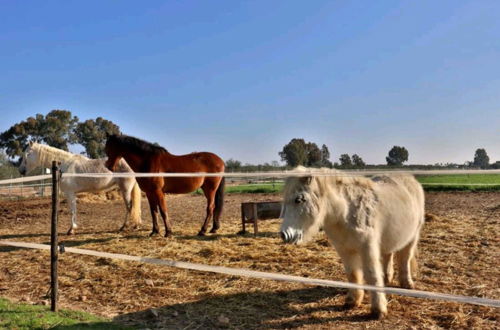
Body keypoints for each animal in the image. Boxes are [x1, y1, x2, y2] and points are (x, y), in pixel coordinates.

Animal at [280, 166, 424, 318]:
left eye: (299, 199)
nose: (284, 235)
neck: (346, 212)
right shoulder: (345, 250)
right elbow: (353, 274)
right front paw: (352, 301)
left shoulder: (367, 248)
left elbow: (372, 274)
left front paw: (378, 310)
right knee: (388, 256)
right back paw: (386, 279)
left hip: (412, 237)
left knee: (405, 259)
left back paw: (407, 283)